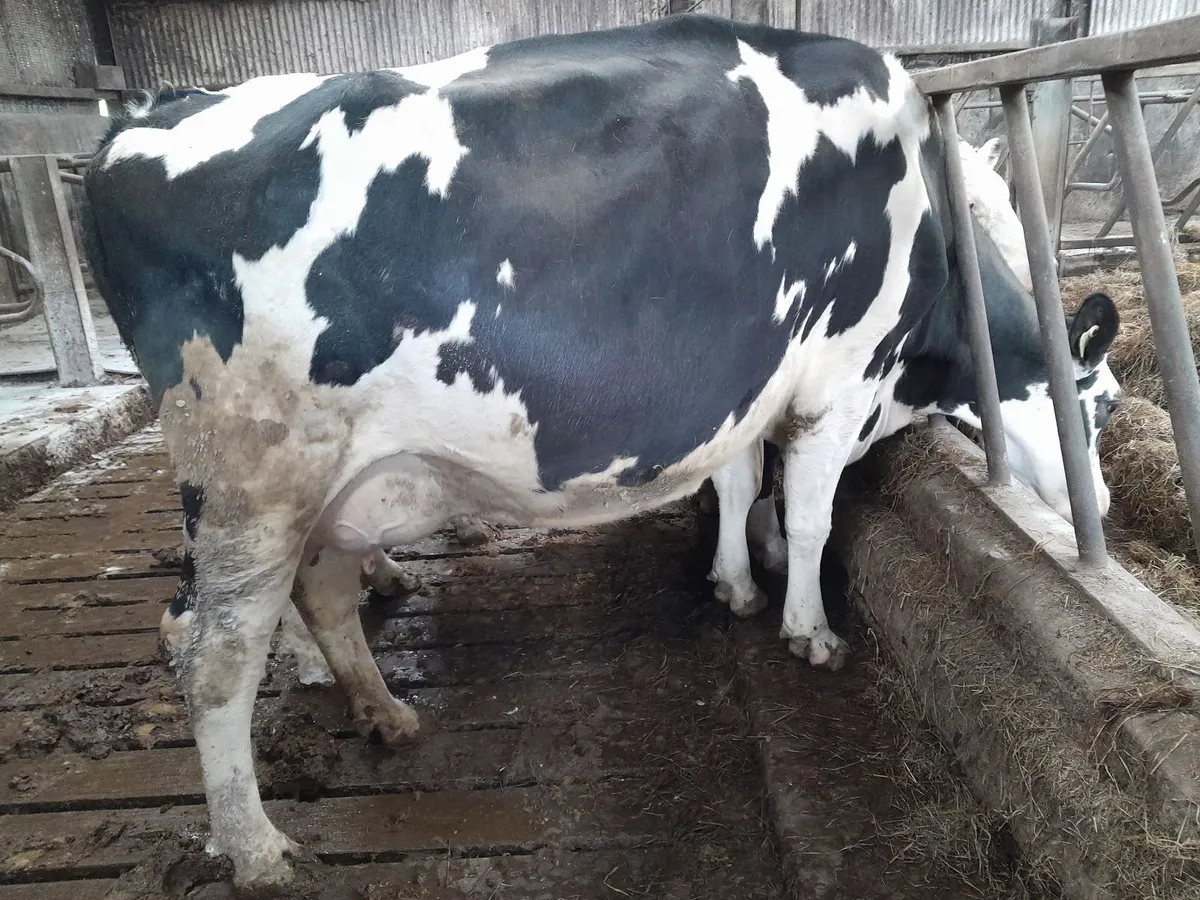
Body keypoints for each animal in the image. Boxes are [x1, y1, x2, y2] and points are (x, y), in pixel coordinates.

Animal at [82, 14, 1120, 889]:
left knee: (323, 595)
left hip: (339, 477)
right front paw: (809, 628)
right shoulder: (842, 379)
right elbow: (811, 515)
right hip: (252, 476)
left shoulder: (749, 388)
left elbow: (740, 480)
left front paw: (738, 581)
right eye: (1103, 406)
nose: (1102, 511)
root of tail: (146, 118)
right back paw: (256, 846)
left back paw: (385, 714)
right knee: (214, 652)